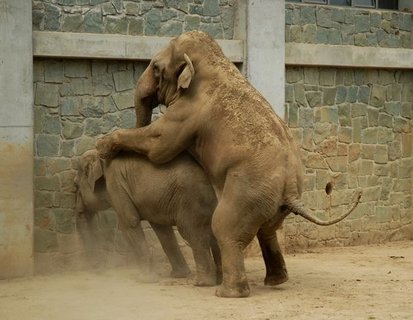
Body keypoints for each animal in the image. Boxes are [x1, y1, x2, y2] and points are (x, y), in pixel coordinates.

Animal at [74, 149, 222, 286]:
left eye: (76, 185)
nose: (98, 269)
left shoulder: (116, 184)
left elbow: (129, 222)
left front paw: (144, 280)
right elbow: (162, 229)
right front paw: (179, 275)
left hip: (192, 200)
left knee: (192, 233)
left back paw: (202, 282)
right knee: (212, 233)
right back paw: (219, 279)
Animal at [96, 30, 360, 298]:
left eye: (156, 68)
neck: (215, 61)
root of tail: (291, 192)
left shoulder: (189, 111)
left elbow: (159, 146)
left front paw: (103, 146)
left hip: (249, 191)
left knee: (224, 227)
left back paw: (227, 292)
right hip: (270, 202)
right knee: (267, 230)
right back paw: (275, 281)